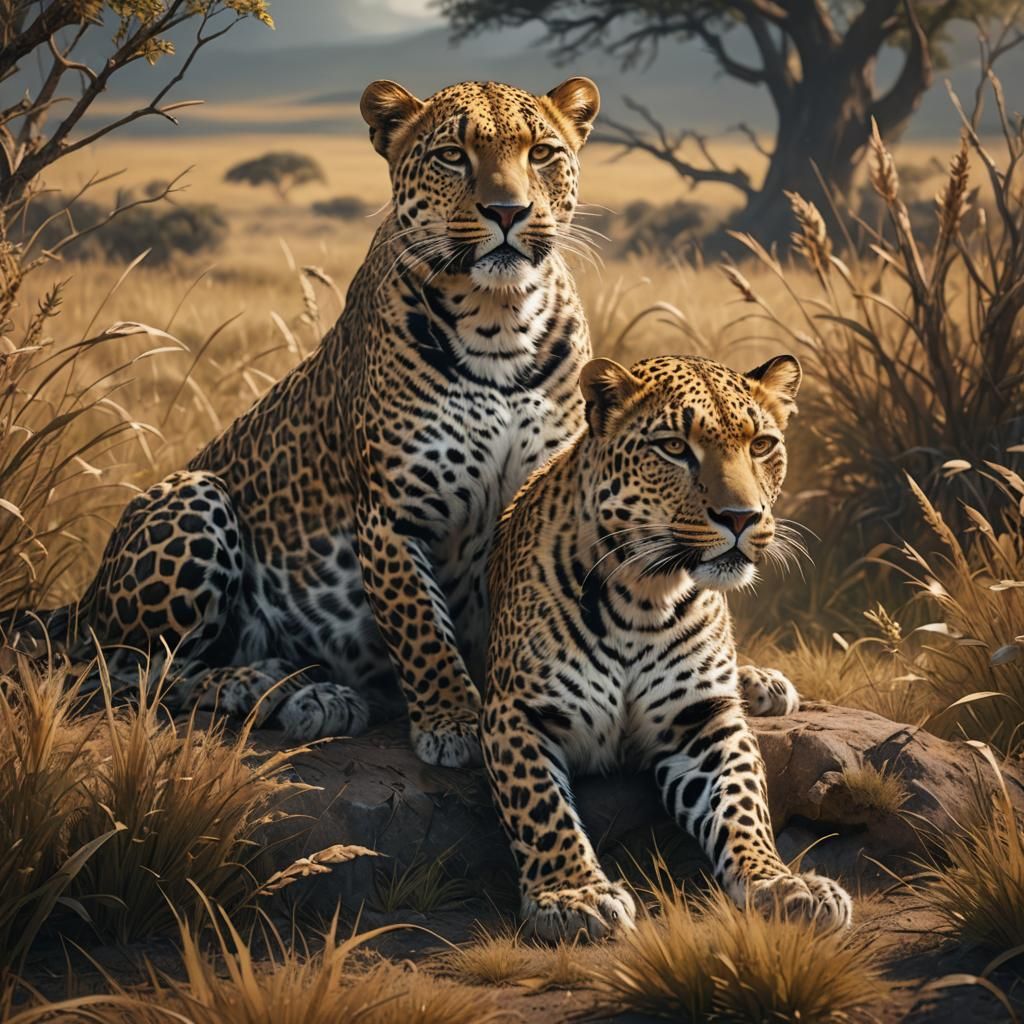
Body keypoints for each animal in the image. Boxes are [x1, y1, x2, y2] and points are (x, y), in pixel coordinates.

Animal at [2, 76, 605, 768]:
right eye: (453, 156)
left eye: (541, 153)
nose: (507, 211)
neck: (499, 321)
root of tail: (85, 603)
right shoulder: (391, 515)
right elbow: (422, 629)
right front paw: (452, 719)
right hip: (193, 498)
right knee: (123, 672)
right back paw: (268, 684)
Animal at [483, 352, 853, 941]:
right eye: (675, 447)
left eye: (761, 445)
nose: (741, 517)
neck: (644, 597)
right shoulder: (517, 711)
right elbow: (541, 807)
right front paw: (574, 895)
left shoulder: (702, 720)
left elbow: (743, 803)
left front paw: (781, 882)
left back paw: (764, 684)